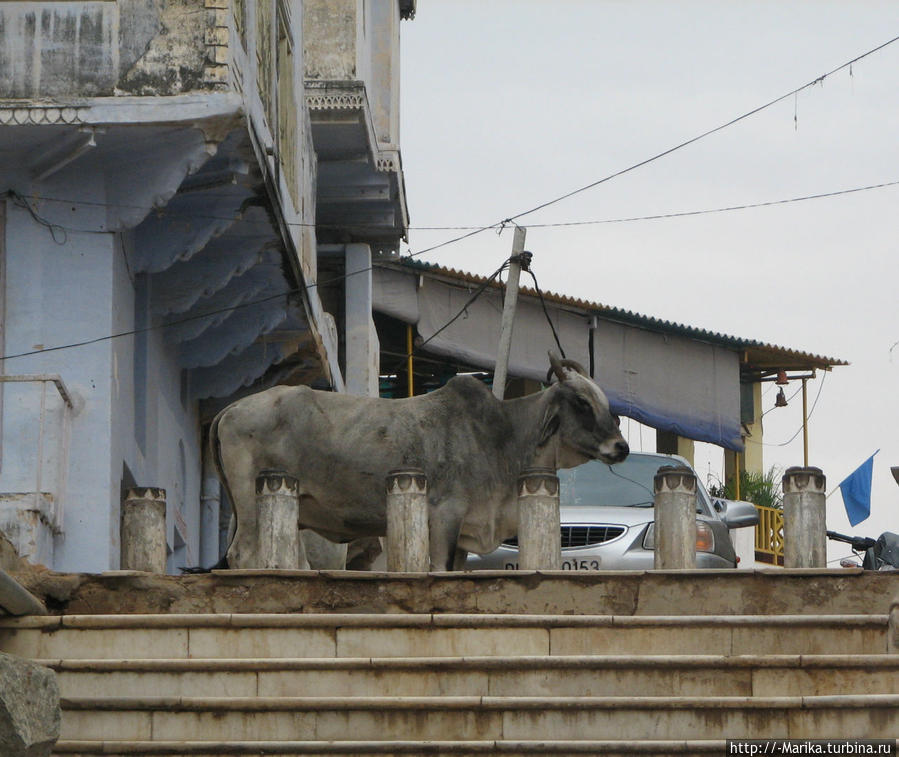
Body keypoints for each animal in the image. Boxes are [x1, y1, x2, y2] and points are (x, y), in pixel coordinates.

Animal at [214, 352, 628, 568]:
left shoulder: (465, 534)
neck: (501, 437)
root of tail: (231, 408)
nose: (620, 447)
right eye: (581, 402)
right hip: (251, 507)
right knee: (242, 554)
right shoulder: (445, 518)